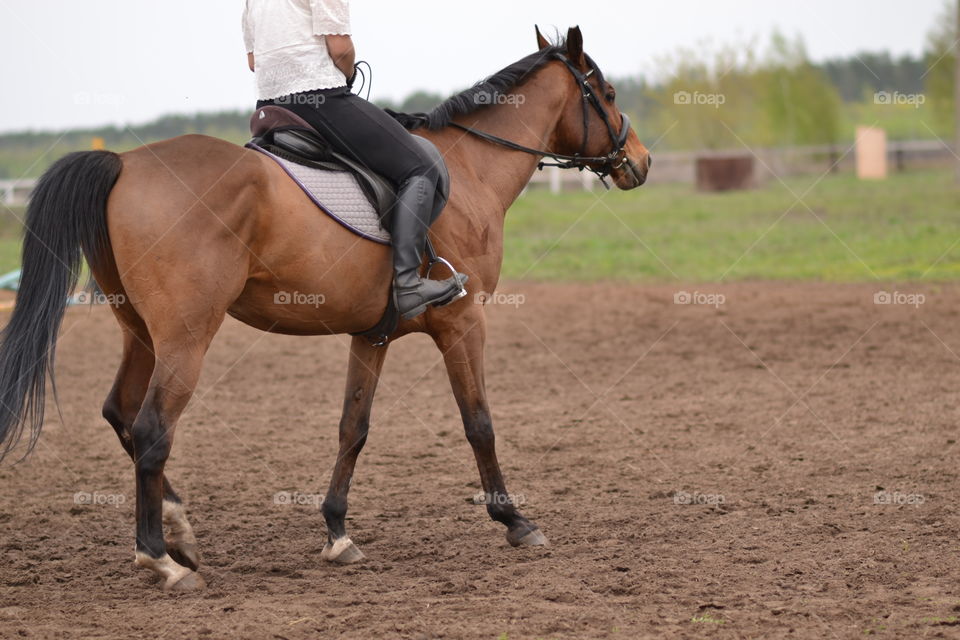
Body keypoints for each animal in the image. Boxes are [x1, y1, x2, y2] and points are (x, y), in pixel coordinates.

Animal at [0, 26, 650, 591]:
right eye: (608, 94)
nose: (639, 161)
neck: (470, 171)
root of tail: (124, 163)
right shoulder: (463, 323)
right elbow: (479, 424)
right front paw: (515, 521)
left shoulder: (373, 334)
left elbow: (352, 427)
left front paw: (337, 531)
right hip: (186, 337)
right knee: (152, 428)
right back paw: (162, 560)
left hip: (140, 331)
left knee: (120, 413)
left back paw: (181, 532)